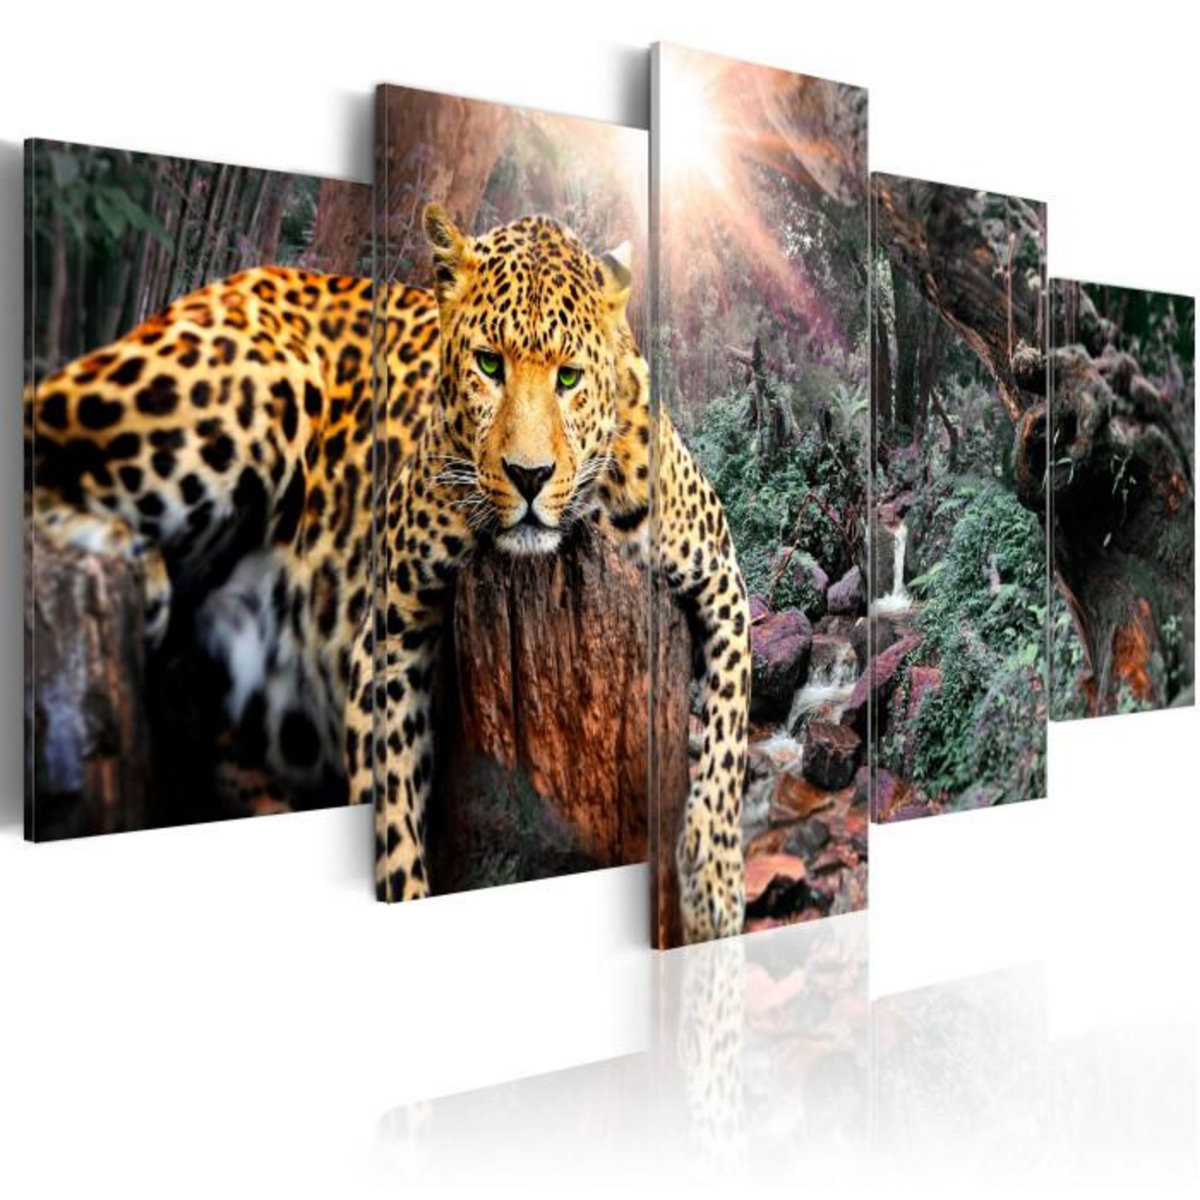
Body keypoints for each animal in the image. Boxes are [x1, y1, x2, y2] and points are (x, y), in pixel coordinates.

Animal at [26, 205, 751, 943]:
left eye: (569, 377)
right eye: (489, 364)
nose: (529, 476)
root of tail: (238, 279)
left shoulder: (721, 577)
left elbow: (728, 734)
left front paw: (716, 882)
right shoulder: (389, 628)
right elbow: (392, 806)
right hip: (238, 390)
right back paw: (129, 559)